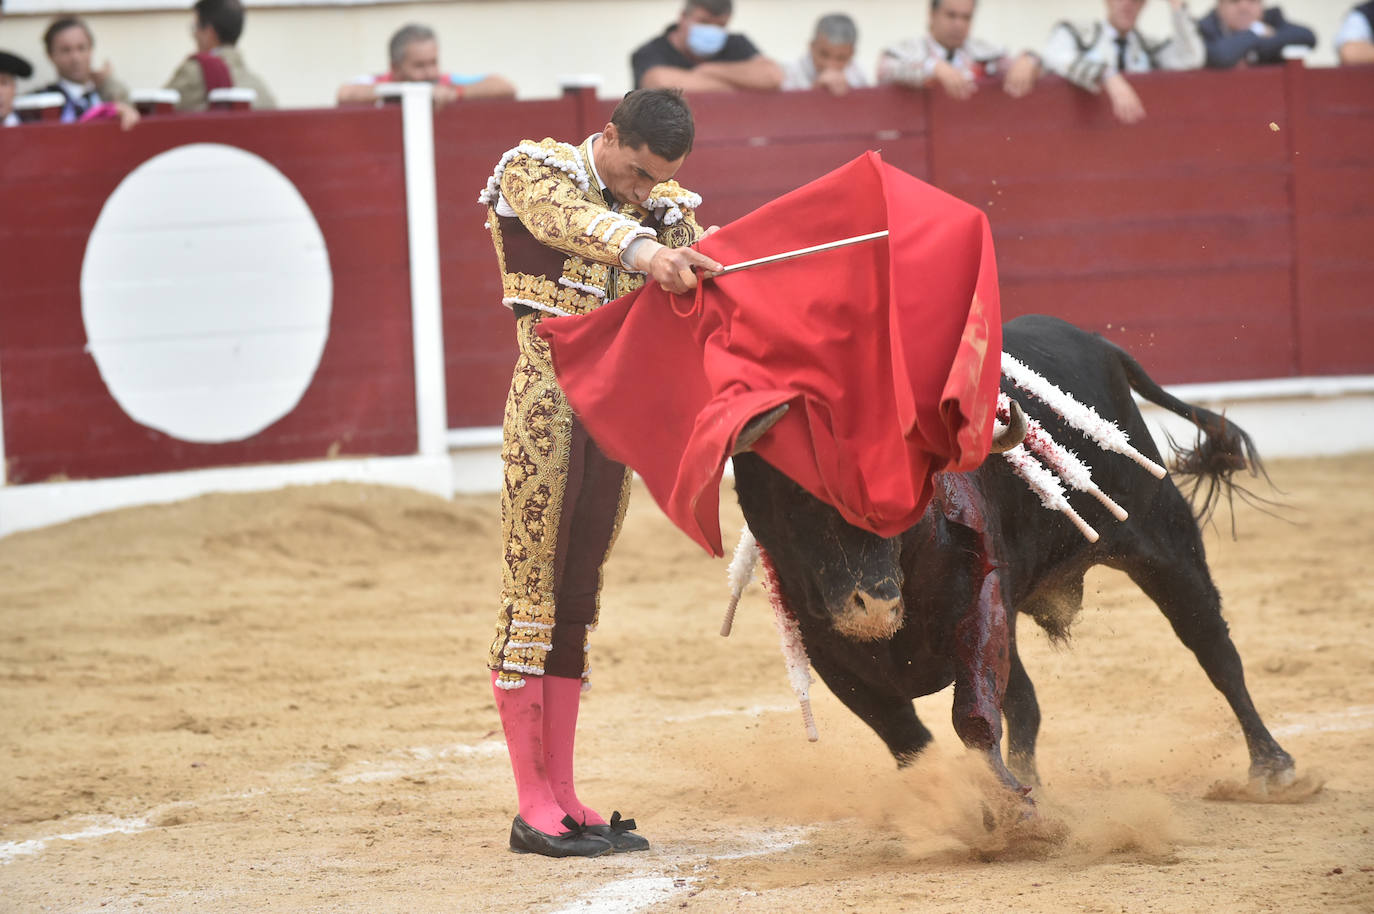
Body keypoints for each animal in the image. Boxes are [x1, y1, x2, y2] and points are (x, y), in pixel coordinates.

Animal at [736, 311, 1291, 791]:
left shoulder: (980, 615)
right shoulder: (835, 663)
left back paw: (1271, 766)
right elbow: (910, 741)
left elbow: (978, 716)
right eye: (796, 494)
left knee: (1213, 647)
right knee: (1028, 703)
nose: (872, 606)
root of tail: (1098, 342)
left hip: (1166, 542)